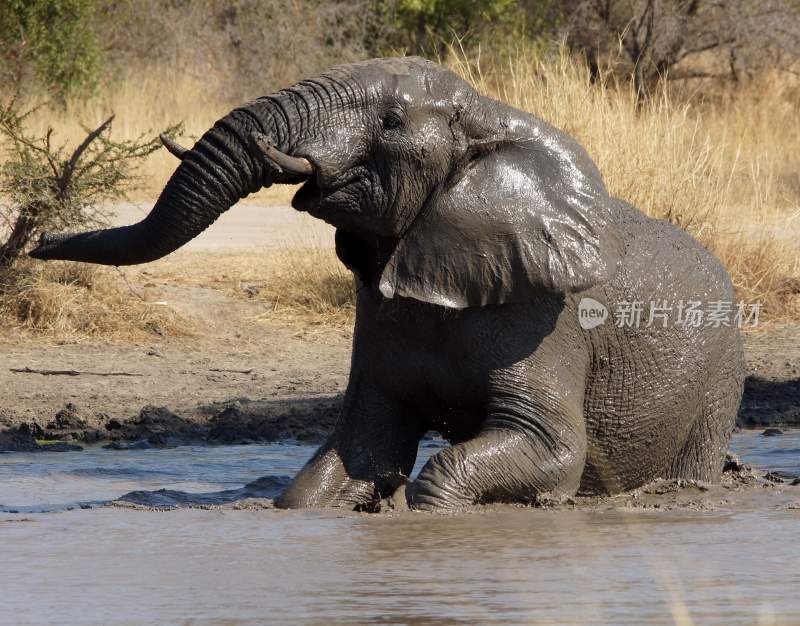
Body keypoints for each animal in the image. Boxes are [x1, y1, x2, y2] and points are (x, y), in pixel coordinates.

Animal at [29, 56, 744, 510]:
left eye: (393, 119)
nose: (37, 243)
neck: (489, 115)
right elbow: (352, 454)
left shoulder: (548, 318)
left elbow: (552, 449)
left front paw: (419, 507)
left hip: (717, 379)